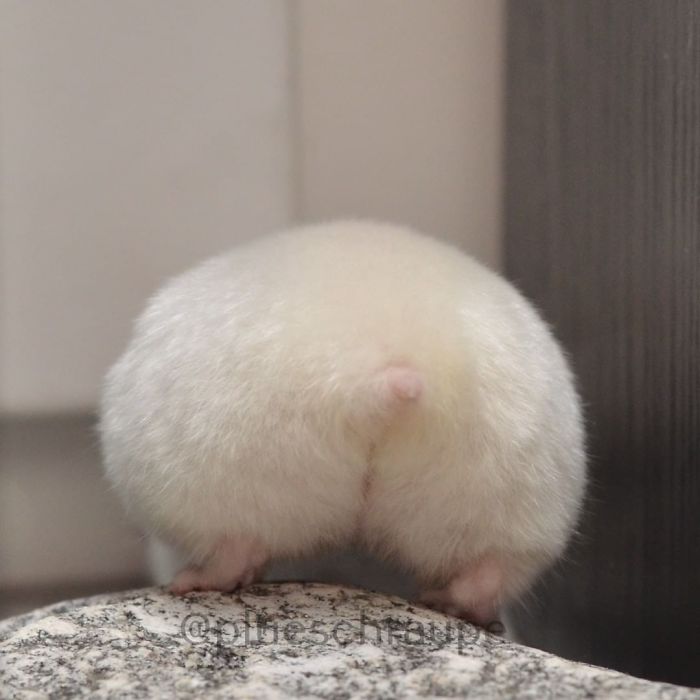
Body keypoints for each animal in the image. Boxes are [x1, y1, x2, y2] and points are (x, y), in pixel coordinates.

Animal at [99, 220, 586, 627]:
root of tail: (390, 374)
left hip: (216, 485)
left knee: (234, 551)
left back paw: (188, 580)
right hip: (505, 499)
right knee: (486, 573)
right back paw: (452, 606)